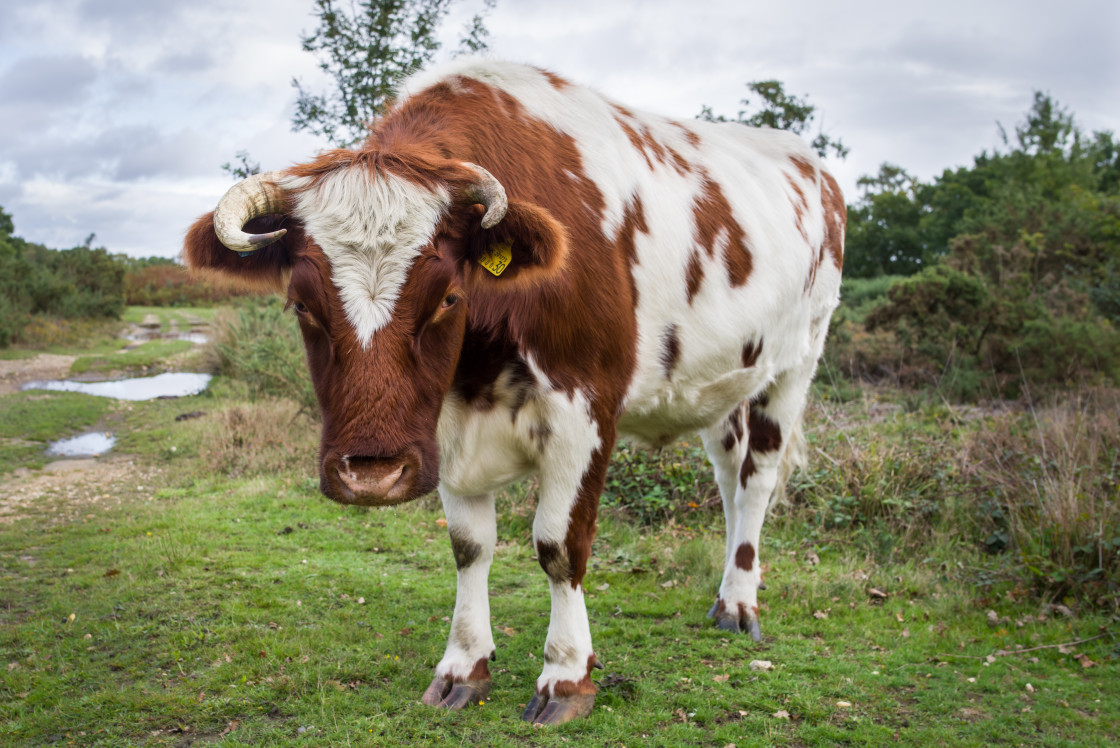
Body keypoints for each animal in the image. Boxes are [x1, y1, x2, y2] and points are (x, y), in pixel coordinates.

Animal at [183, 58, 842, 725]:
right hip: (724, 383)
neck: (478, 367)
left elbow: (559, 545)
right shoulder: (444, 428)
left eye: (449, 297)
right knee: (729, 478)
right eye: (301, 305)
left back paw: (739, 603)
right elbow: (469, 547)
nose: (371, 474)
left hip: (795, 364)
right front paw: (462, 664)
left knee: (756, 480)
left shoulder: (584, 413)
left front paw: (566, 673)